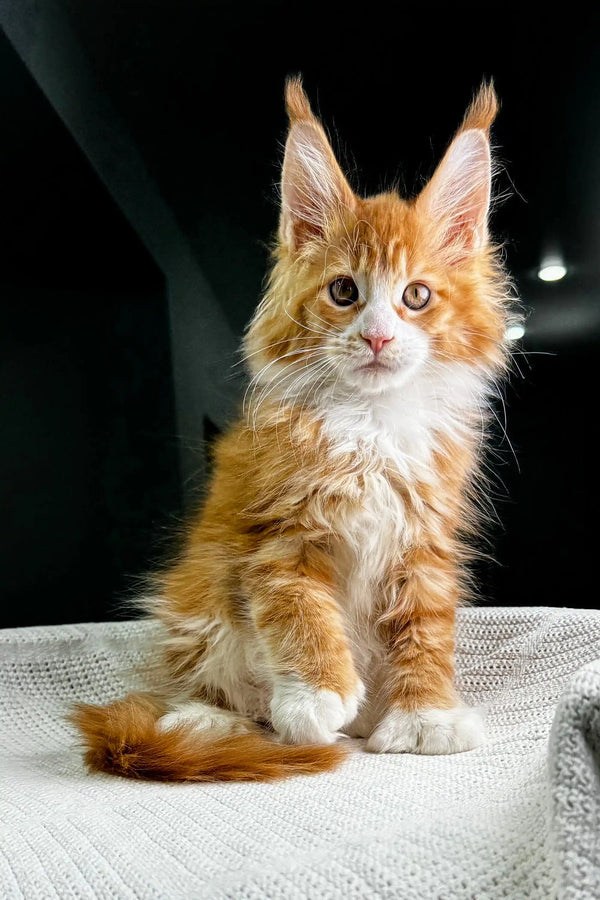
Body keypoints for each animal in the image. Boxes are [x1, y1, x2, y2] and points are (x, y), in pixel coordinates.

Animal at [74, 77, 516, 780]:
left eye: (416, 296)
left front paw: (425, 717)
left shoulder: (425, 539)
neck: (369, 424)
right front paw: (315, 697)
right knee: (205, 679)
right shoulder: (278, 532)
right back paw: (210, 718)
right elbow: (299, 609)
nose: (377, 337)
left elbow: (425, 627)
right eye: (343, 292)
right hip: (199, 597)